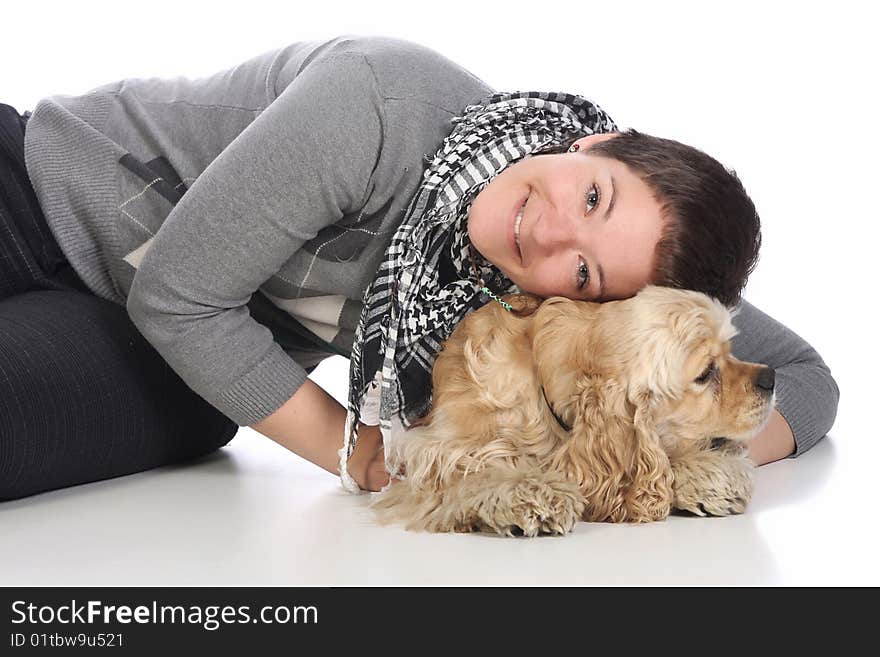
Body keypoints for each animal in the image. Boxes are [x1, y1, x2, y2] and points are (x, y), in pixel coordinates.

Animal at [372, 284, 776, 536]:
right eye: (706, 373)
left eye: (729, 351)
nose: (770, 377)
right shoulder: (435, 450)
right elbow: (480, 468)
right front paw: (533, 494)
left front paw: (712, 474)